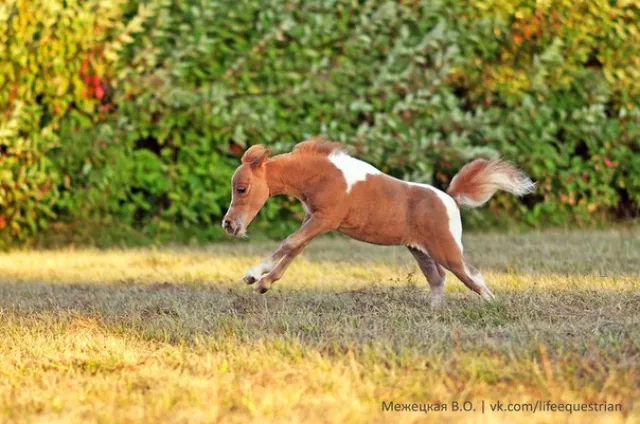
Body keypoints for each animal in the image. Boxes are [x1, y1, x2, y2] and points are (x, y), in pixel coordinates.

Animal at [222, 138, 535, 305]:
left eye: (242, 188)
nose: (229, 225)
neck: (321, 175)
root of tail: (450, 199)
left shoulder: (325, 218)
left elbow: (289, 244)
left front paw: (254, 276)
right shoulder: (313, 219)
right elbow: (293, 250)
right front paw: (261, 283)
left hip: (447, 251)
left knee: (472, 276)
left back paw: (493, 306)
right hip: (421, 252)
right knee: (437, 279)